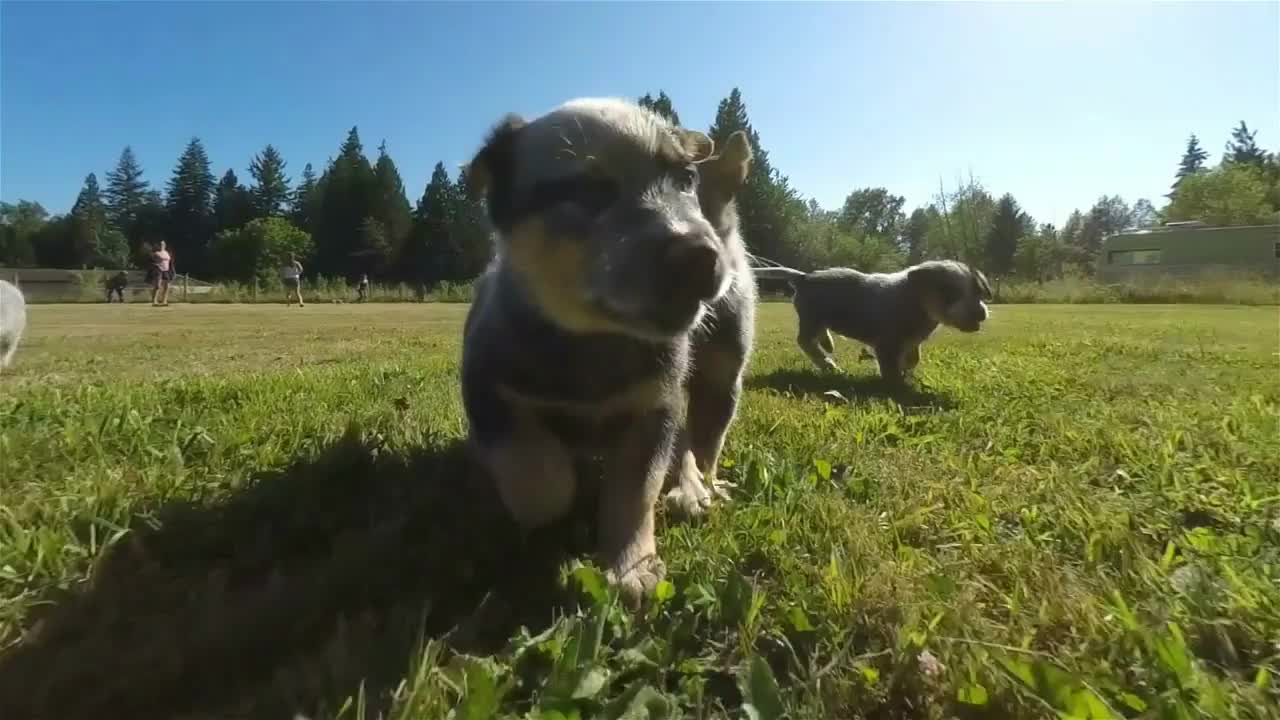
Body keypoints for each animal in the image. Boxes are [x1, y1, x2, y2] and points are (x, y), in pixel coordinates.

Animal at [463, 96, 752, 604]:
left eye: (687, 179)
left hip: (719, 382)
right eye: (590, 189)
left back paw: (694, 489)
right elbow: (539, 478)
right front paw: (554, 507)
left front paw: (632, 567)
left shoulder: (655, 407)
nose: (703, 256)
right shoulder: (487, 388)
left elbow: (635, 492)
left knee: (701, 448)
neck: (595, 343)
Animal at [752, 256, 993, 381]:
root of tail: (803, 277)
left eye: (978, 291)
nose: (981, 313)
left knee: (817, 335)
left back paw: (828, 345)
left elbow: (913, 358)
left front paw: (908, 373)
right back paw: (828, 364)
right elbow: (890, 368)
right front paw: (897, 386)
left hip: (817, 319)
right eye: (950, 293)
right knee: (804, 341)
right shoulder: (887, 344)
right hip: (811, 318)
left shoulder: (911, 342)